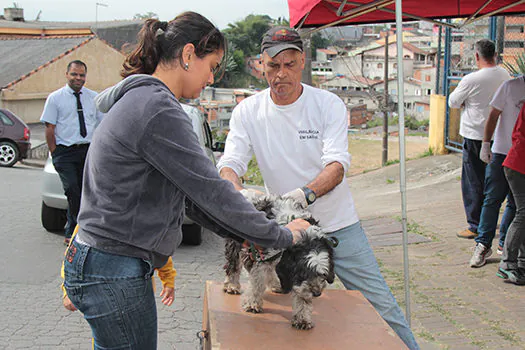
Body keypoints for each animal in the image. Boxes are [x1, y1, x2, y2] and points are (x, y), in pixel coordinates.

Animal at [223, 194, 334, 328]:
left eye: (322, 274)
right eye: (303, 274)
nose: (317, 293)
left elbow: (302, 298)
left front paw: (302, 319)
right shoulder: (263, 259)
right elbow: (257, 284)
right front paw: (252, 304)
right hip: (235, 245)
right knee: (233, 266)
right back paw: (232, 285)